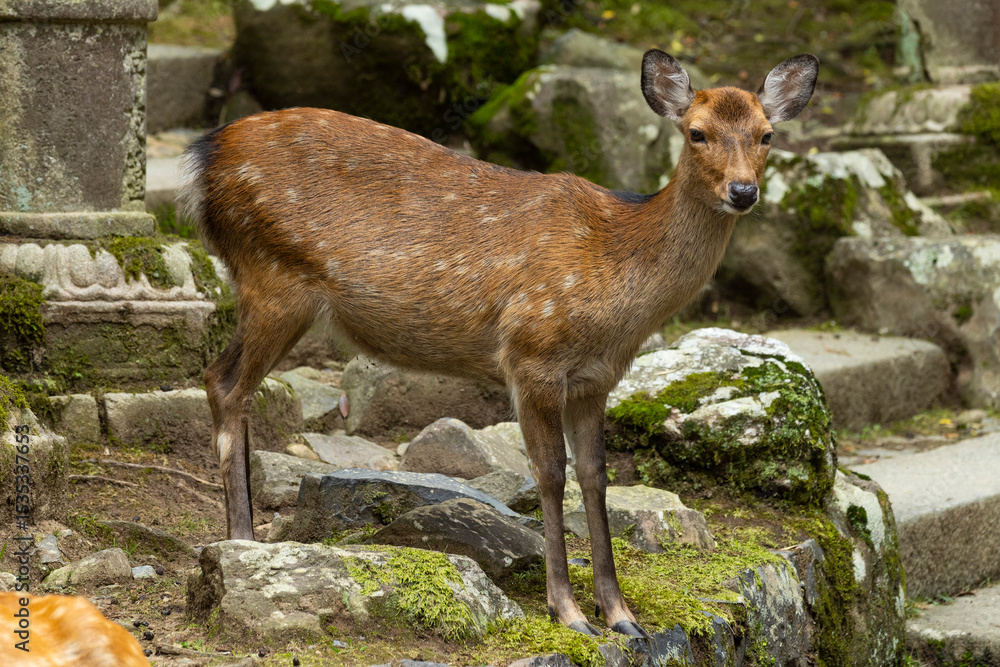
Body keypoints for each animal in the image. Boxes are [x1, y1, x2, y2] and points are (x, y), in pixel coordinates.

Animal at [178, 50, 818, 638]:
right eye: (696, 132)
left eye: (767, 134)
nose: (743, 191)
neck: (620, 282)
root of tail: (205, 156)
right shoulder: (533, 353)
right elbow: (550, 475)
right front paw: (568, 611)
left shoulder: (597, 378)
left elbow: (596, 476)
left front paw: (621, 615)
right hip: (273, 277)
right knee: (224, 382)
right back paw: (243, 542)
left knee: (221, 379)